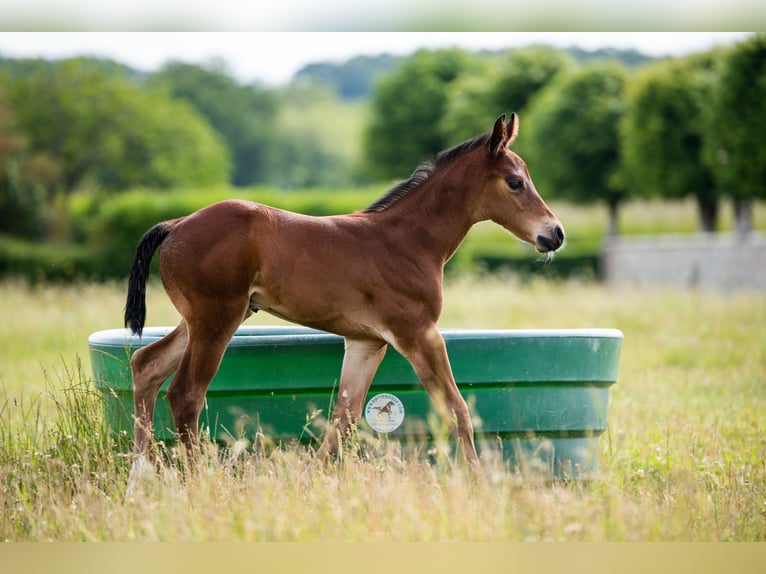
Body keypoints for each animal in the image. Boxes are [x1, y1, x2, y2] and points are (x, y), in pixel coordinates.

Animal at [126, 115, 568, 474]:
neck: (408, 242)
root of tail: (177, 223)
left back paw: (140, 478)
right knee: (185, 394)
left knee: (146, 364)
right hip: (217, 319)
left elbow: (345, 417)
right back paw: (198, 481)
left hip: (202, 319)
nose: (556, 234)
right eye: (515, 182)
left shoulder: (366, 342)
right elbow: (457, 410)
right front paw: (479, 483)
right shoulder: (418, 333)